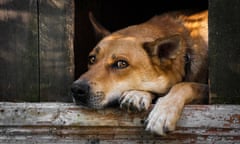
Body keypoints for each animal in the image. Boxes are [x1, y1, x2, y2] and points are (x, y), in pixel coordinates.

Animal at [71, 10, 208, 136]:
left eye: (121, 64)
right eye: (92, 59)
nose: (76, 89)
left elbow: (184, 85)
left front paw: (163, 112)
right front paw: (137, 94)